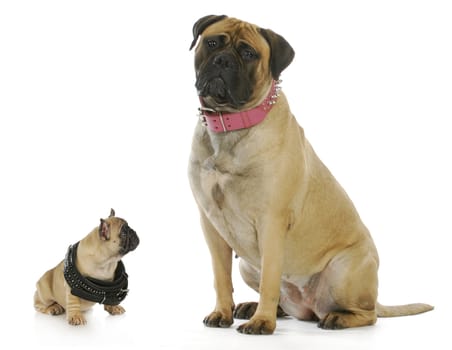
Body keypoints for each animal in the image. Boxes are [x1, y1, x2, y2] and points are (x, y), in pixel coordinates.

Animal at [188, 15, 434, 334]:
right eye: (212, 42)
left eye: (249, 53)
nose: (223, 60)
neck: (231, 125)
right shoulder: (211, 225)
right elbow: (221, 277)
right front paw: (223, 312)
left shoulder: (271, 222)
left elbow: (270, 279)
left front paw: (263, 322)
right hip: (247, 265)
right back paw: (254, 307)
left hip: (344, 272)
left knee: (368, 314)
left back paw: (336, 318)